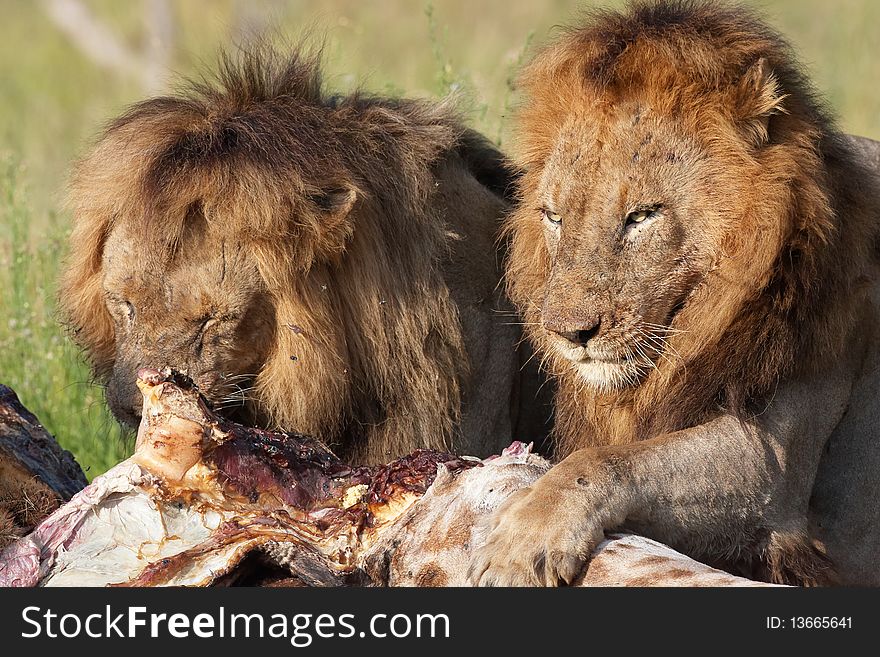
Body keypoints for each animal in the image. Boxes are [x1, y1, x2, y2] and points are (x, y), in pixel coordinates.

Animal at [470, 0, 880, 584]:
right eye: (554, 217)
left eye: (642, 216)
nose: (569, 334)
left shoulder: (775, 465)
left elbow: (606, 460)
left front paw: (522, 538)